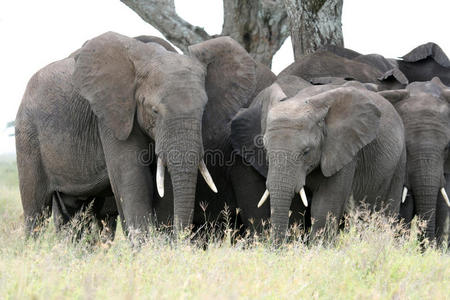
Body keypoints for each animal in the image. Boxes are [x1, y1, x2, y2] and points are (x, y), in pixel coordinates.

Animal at [14, 31, 268, 240]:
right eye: (154, 110)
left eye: (203, 109)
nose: (184, 238)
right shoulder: (112, 114)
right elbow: (132, 178)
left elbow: (164, 184)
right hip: (27, 134)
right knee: (36, 211)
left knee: (75, 212)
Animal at [230, 79, 406, 241]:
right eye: (266, 150)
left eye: (306, 151)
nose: (275, 247)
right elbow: (295, 207)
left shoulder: (343, 149)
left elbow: (325, 205)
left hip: (400, 161)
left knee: (388, 210)